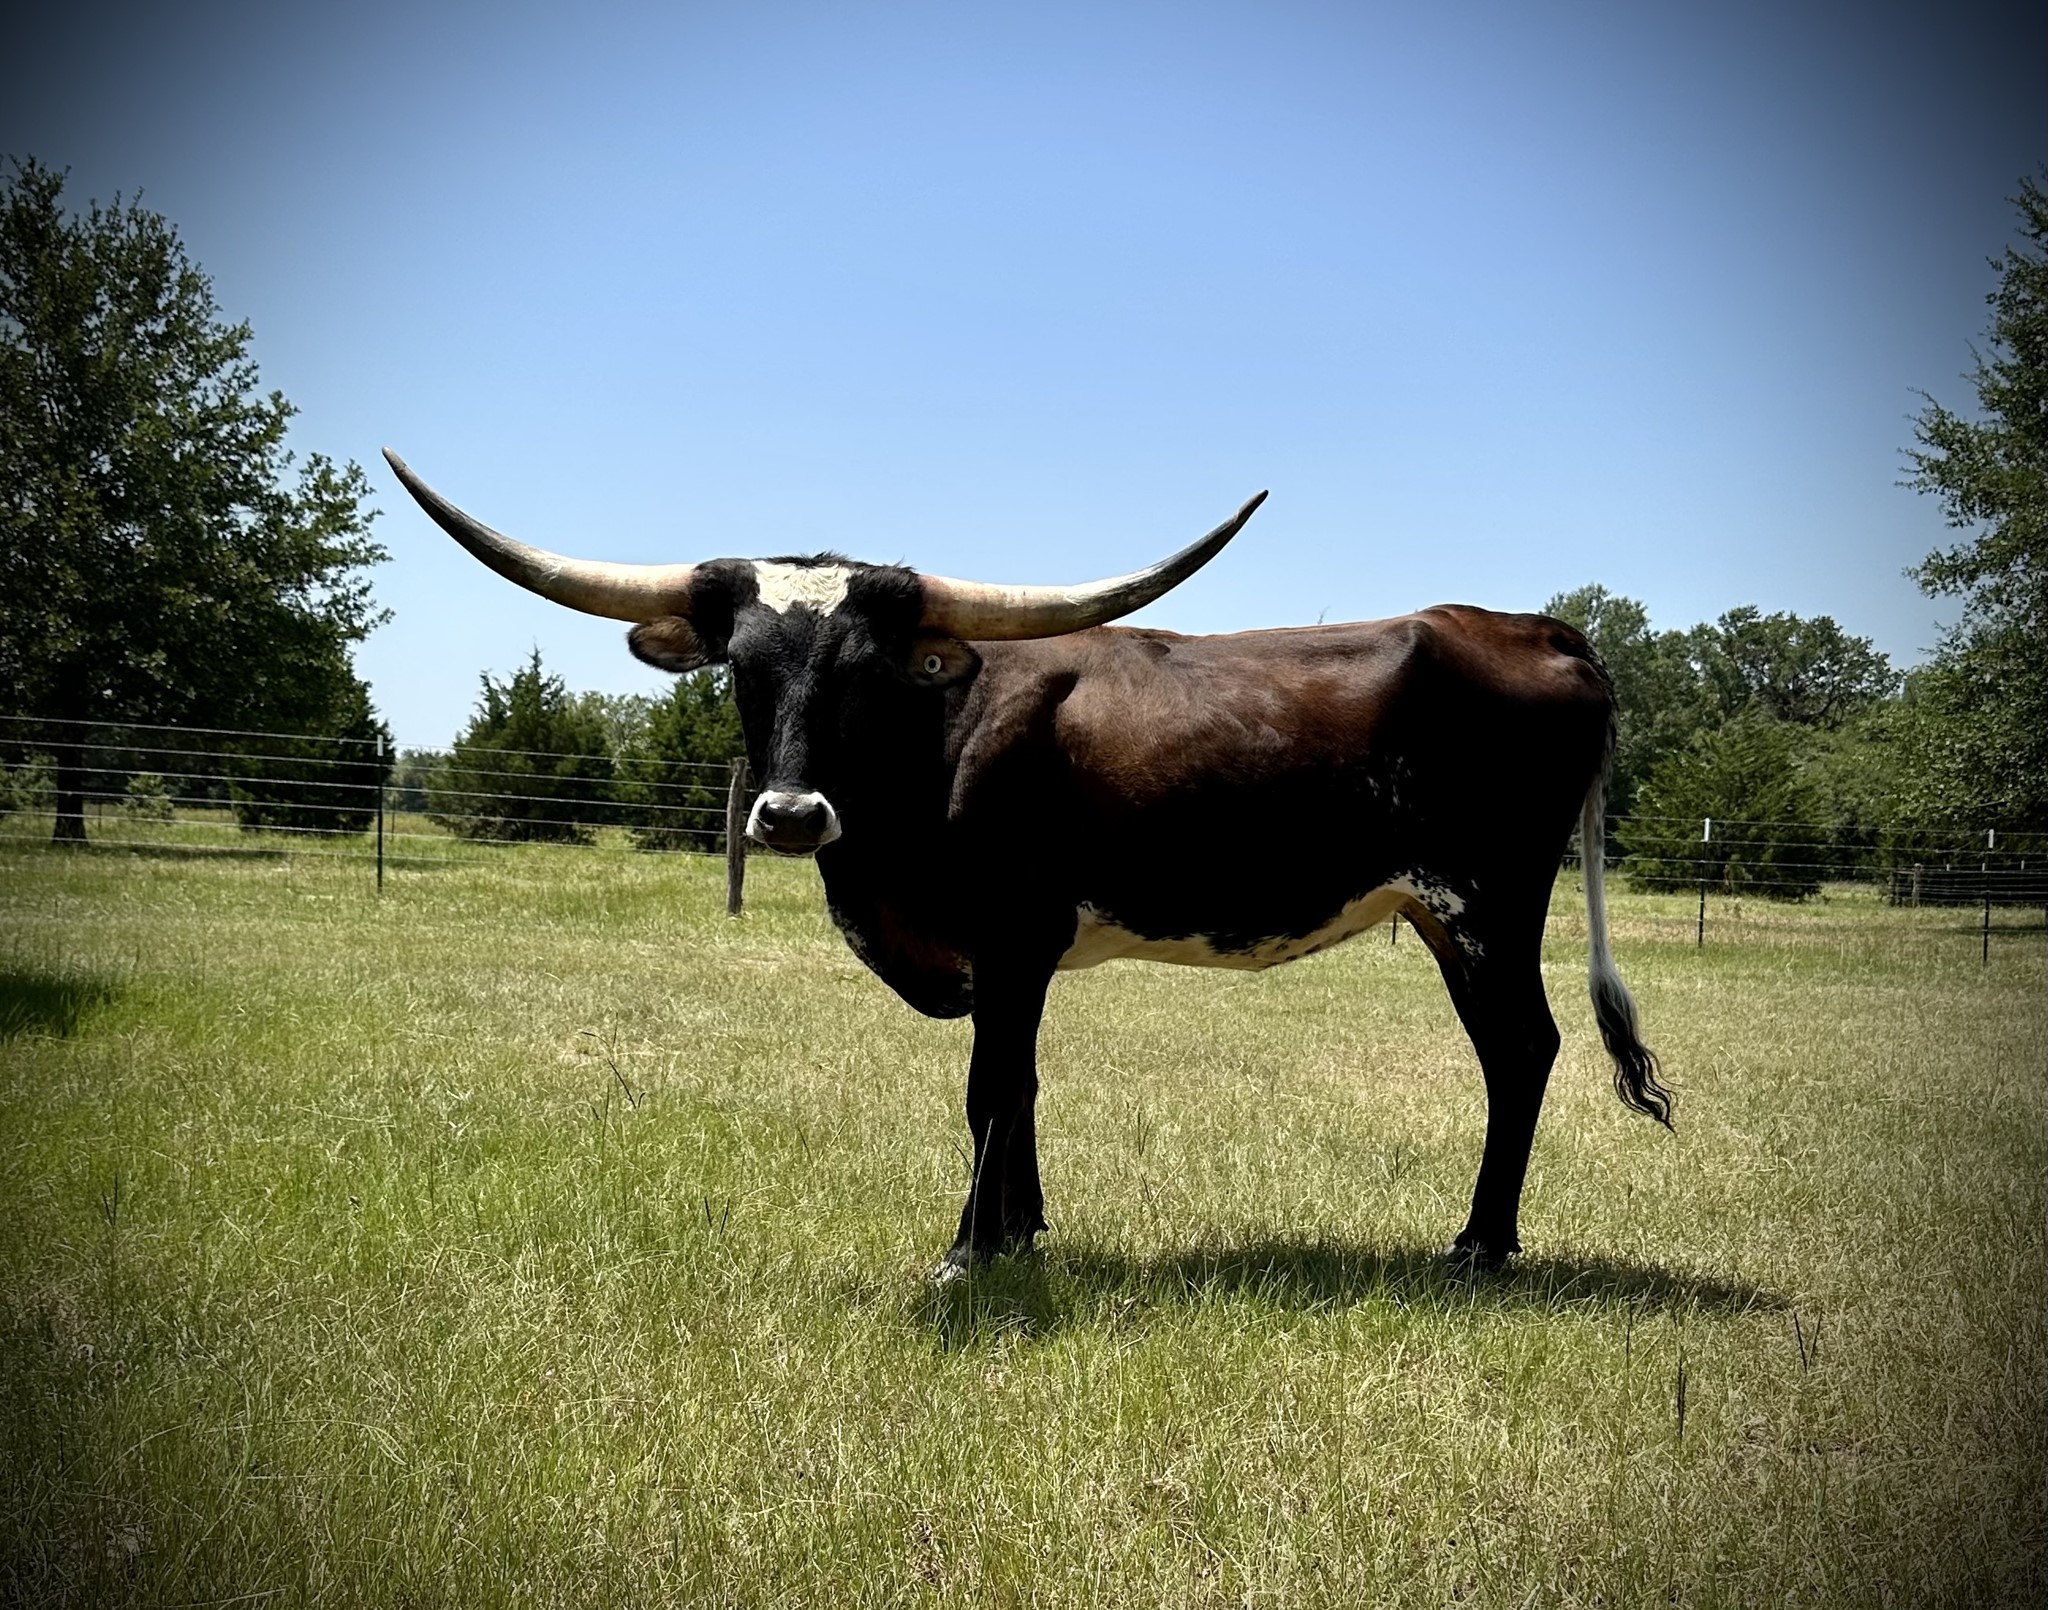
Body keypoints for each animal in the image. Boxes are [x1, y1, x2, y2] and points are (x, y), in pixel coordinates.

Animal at [385, 450, 1670, 1277]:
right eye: (741, 664)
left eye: (869, 667)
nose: (791, 815)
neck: (937, 745)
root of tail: (1529, 625)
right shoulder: (1015, 958)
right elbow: (1023, 1086)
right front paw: (1018, 1228)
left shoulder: (1012, 938)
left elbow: (987, 1087)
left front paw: (967, 1249)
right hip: (1446, 916)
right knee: (1513, 1051)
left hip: (1489, 900)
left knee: (1522, 1049)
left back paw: (1480, 1243)